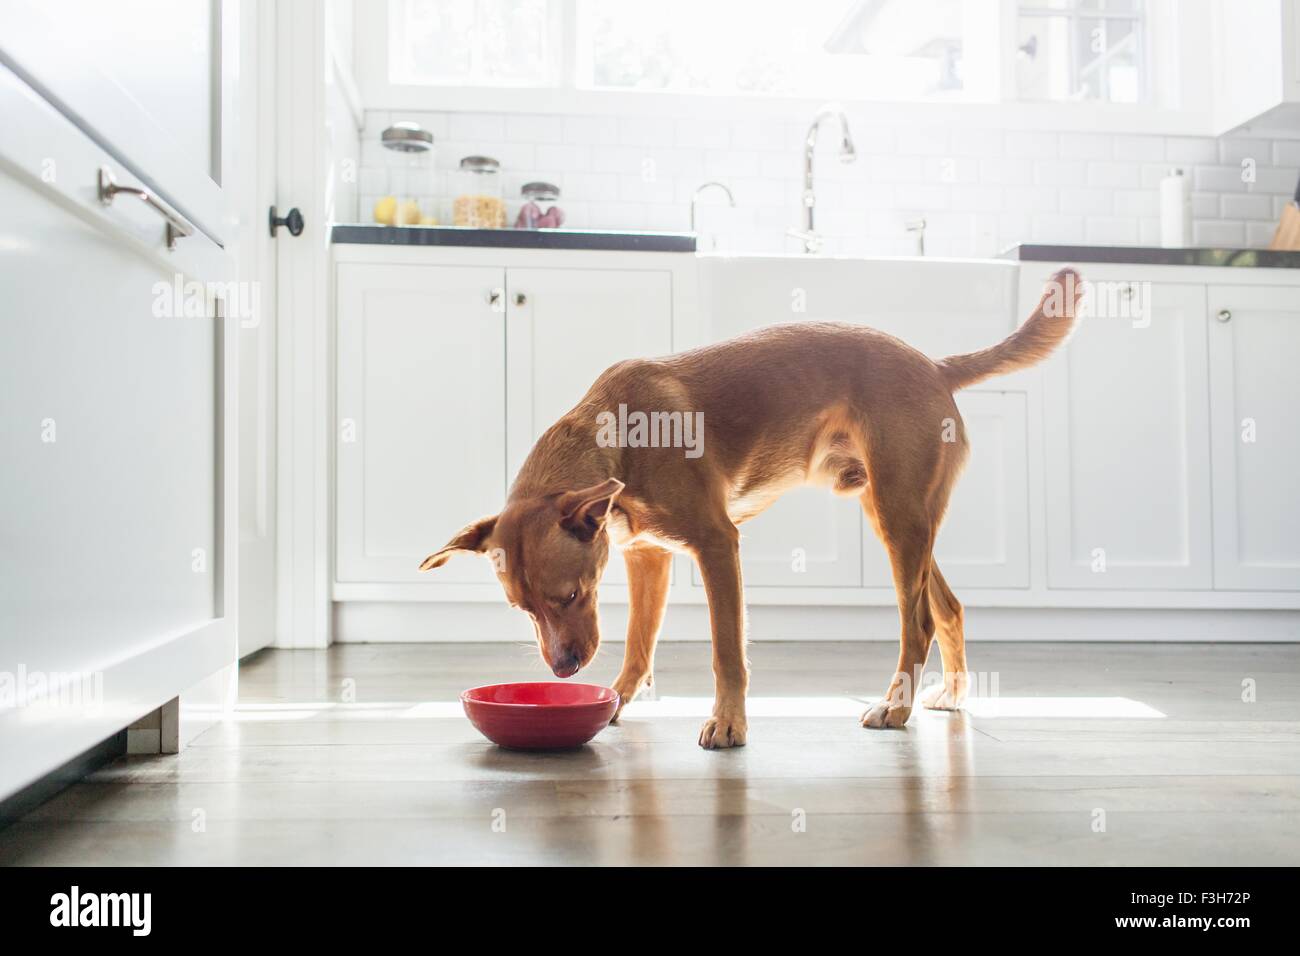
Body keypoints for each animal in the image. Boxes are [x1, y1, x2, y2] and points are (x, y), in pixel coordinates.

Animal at [421, 267, 1081, 749]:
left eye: (571, 595)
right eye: (524, 609)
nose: (562, 672)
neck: (616, 433)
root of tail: (935, 365)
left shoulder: (717, 545)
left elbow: (726, 650)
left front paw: (729, 723)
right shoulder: (647, 558)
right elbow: (638, 644)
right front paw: (616, 700)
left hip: (898, 517)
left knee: (916, 621)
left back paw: (896, 707)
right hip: (898, 516)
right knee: (948, 607)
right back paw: (950, 695)